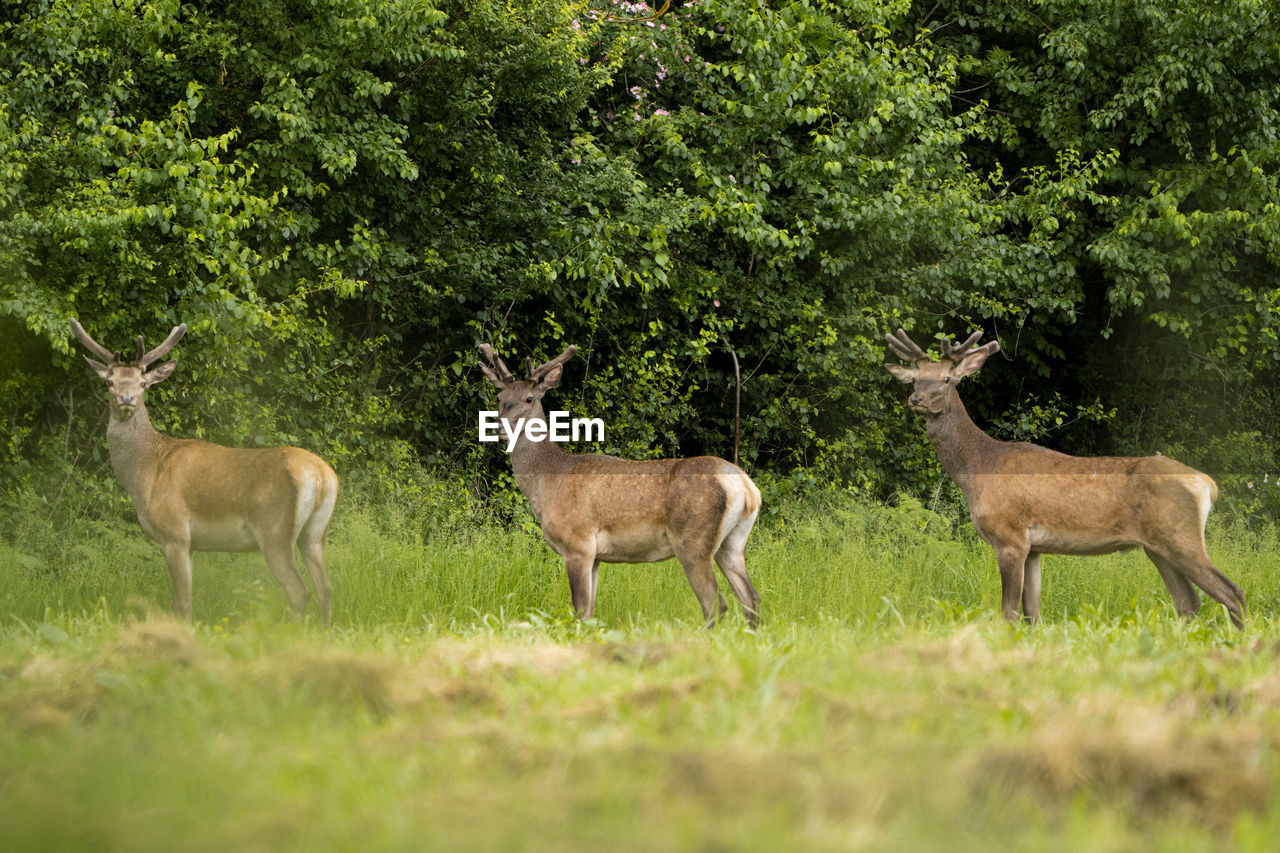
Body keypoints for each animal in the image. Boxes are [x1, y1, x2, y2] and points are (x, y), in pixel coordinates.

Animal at [68, 318, 340, 625]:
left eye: (143, 383)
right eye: (109, 381)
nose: (126, 398)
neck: (144, 471)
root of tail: (323, 478)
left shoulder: (175, 533)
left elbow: (183, 603)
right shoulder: (192, 544)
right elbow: (178, 602)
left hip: (273, 530)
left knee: (299, 590)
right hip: (315, 533)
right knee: (326, 587)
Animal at [478, 340, 757, 625]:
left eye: (529, 398)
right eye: (500, 397)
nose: (495, 428)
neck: (547, 482)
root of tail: (747, 488)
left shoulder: (578, 544)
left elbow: (579, 609)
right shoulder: (595, 556)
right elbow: (589, 612)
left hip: (692, 540)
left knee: (715, 603)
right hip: (733, 542)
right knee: (750, 598)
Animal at [885, 327, 1244, 627]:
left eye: (947, 379)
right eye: (916, 379)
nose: (916, 399)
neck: (978, 470)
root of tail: (1207, 484)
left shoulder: (1010, 536)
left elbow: (1009, 611)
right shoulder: (1034, 548)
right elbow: (1032, 612)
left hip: (1180, 536)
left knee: (1231, 593)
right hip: (1157, 546)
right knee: (1189, 601)